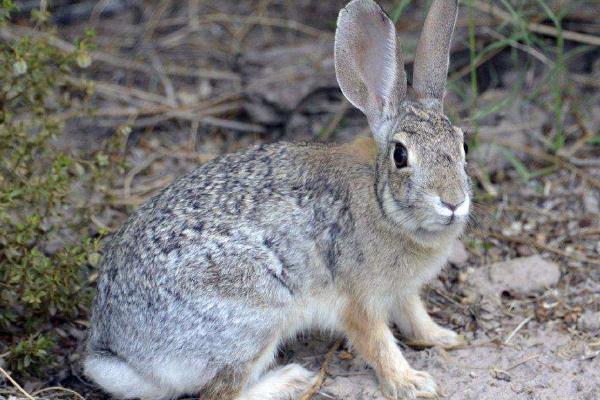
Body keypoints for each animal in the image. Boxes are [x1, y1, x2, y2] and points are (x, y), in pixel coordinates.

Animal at [84, 0, 468, 398]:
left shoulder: (403, 292)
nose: (453, 202)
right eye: (400, 156)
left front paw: (444, 337)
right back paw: (293, 378)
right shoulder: (359, 300)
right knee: (220, 392)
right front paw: (412, 382)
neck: (382, 203)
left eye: (463, 145)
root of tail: (120, 354)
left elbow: (414, 315)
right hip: (258, 315)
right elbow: (377, 343)